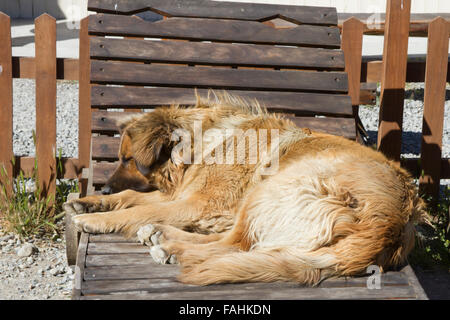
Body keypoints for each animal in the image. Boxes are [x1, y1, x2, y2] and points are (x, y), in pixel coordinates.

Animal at [63, 92, 426, 284]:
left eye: (127, 159)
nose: (104, 190)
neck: (203, 140)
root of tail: (391, 221)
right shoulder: (183, 193)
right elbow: (134, 198)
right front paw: (91, 203)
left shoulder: (200, 202)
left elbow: (141, 208)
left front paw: (93, 219)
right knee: (242, 245)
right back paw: (161, 236)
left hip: (272, 187)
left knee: (236, 244)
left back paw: (167, 244)